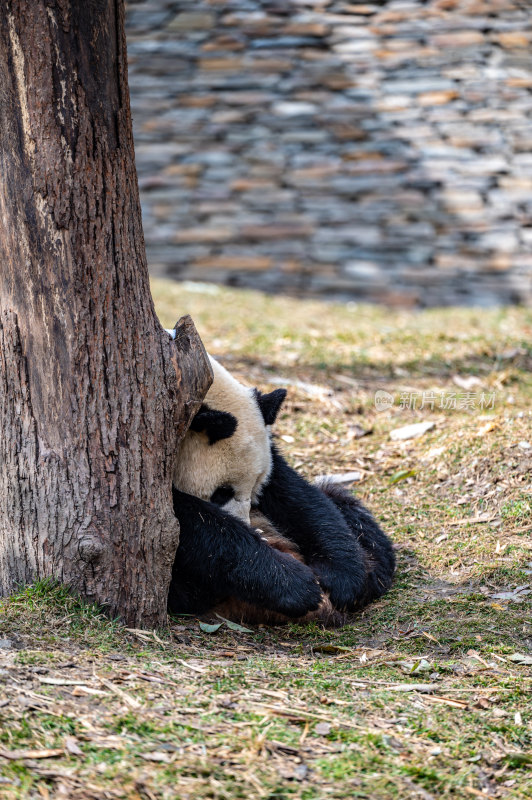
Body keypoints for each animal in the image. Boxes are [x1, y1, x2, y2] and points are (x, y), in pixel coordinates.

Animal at [169, 354, 394, 620]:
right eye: (221, 493)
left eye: (256, 488)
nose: (248, 524)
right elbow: (191, 523)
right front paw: (295, 585)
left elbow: (295, 495)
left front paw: (341, 579)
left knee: (341, 503)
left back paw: (374, 568)